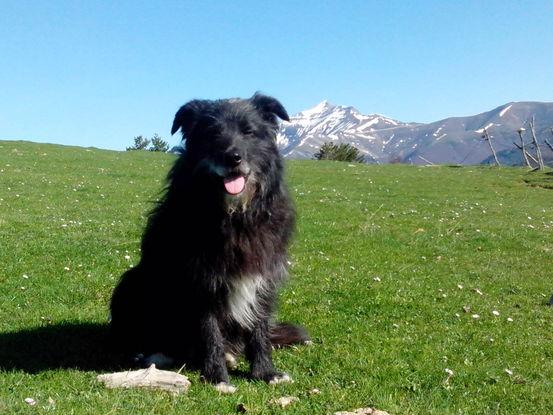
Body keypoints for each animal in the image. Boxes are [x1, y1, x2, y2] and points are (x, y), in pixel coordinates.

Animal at [108, 92, 306, 392]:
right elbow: (210, 331)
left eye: (249, 131)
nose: (232, 157)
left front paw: (265, 372)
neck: (234, 214)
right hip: (130, 284)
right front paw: (217, 376)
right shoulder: (201, 282)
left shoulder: (263, 277)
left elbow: (259, 328)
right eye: (213, 134)